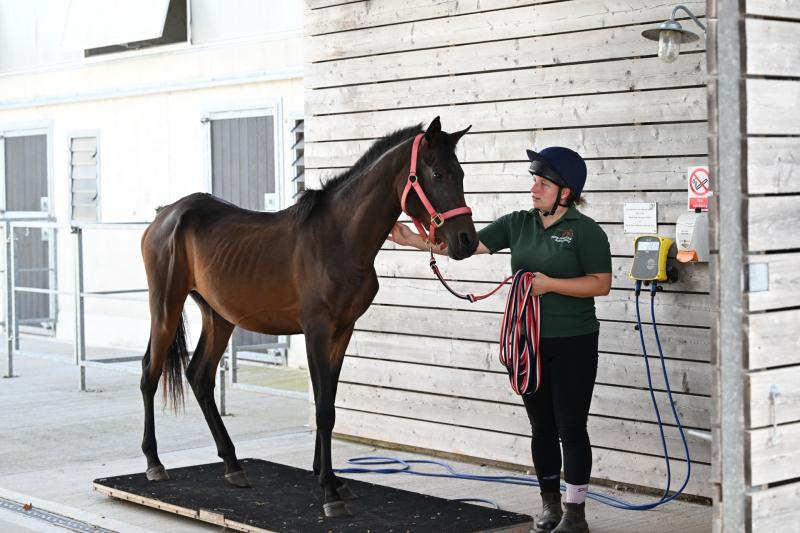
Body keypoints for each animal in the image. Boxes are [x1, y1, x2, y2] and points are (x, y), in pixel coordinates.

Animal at [138, 117, 478, 518]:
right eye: (437, 173)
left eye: (460, 173)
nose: (466, 241)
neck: (339, 238)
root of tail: (165, 213)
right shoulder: (316, 330)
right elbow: (323, 409)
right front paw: (329, 493)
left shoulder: (342, 331)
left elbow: (327, 399)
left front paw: (329, 478)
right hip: (165, 305)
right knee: (150, 373)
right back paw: (154, 463)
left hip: (218, 315)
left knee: (199, 377)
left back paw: (234, 465)